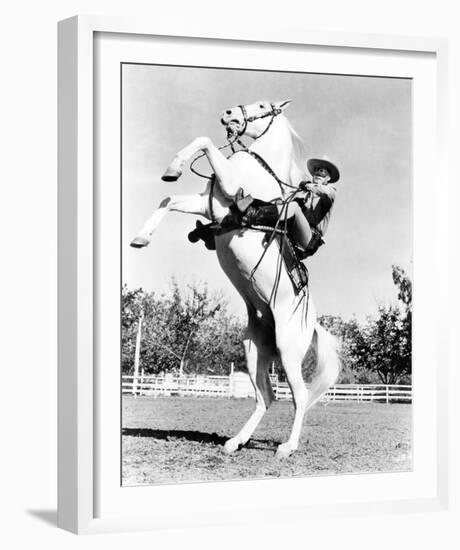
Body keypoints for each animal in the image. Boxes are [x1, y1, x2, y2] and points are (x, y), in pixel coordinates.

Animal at [131, 100, 340, 462]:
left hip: (289, 350)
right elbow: (168, 200)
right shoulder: (209, 205)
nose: (228, 114)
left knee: (299, 396)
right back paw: (235, 442)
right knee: (266, 397)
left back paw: (287, 447)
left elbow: (203, 142)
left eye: (263, 105)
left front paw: (174, 167)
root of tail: (312, 323)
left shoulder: (226, 191)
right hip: (255, 348)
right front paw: (141, 237)